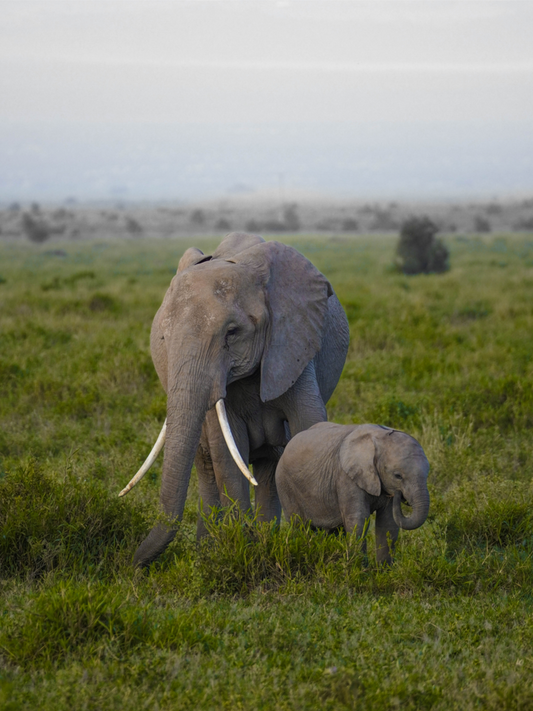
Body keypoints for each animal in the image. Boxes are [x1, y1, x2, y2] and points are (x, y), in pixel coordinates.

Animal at [120, 234, 350, 568]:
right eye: (163, 338)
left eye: (232, 333)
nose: (133, 565)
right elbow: (228, 453)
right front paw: (243, 548)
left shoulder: (292, 344)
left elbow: (309, 426)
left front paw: (325, 548)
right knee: (207, 464)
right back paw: (211, 550)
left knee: (270, 465)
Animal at [274, 422, 428, 568]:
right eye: (398, 476)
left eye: (427, 474)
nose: (399, 495)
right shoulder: (345, 478)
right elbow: (358, 520)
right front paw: (361, 570)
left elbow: (388, 523)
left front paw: (384, 572)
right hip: (284, 484)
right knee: (298, 526)